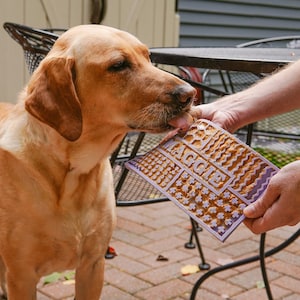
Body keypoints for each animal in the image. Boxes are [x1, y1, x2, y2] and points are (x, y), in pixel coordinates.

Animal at [0, 24, 196, 298]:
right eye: (118, 65)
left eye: (148, 57)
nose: (189, 94)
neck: (72, 173)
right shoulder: (21, 275)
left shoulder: (93, 265)